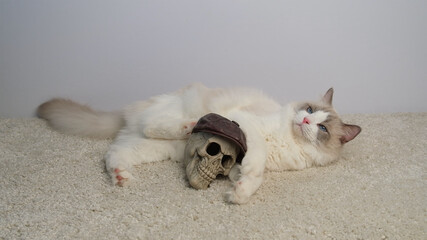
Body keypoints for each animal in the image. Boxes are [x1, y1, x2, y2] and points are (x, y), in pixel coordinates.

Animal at [38, 83, 362, 203]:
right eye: (308, 110)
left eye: (322, 127)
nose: (305, 121)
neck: (288, 138)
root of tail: (126, 114)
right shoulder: (246, 126)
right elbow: (256, 161)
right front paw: (240, 192)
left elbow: (245, 173)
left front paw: (238, 188)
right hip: (175, 117)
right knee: (154, 124)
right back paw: (188, 125)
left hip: (152, 148)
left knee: (115, 152)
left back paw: (120, 176)